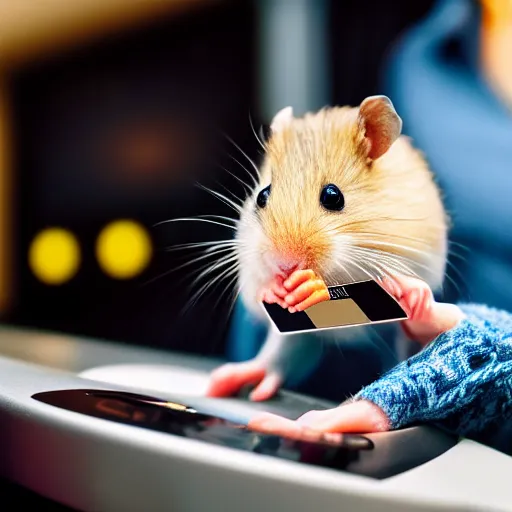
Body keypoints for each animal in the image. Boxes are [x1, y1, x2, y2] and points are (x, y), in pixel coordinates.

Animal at [204, 95, 448, 400]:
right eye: (262, 196)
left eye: (333, 196)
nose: (285, 265)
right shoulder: (249, 259)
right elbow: (258, 286)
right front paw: (275, 288)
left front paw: (409, 292)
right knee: (277, 362)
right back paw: (231, 382)